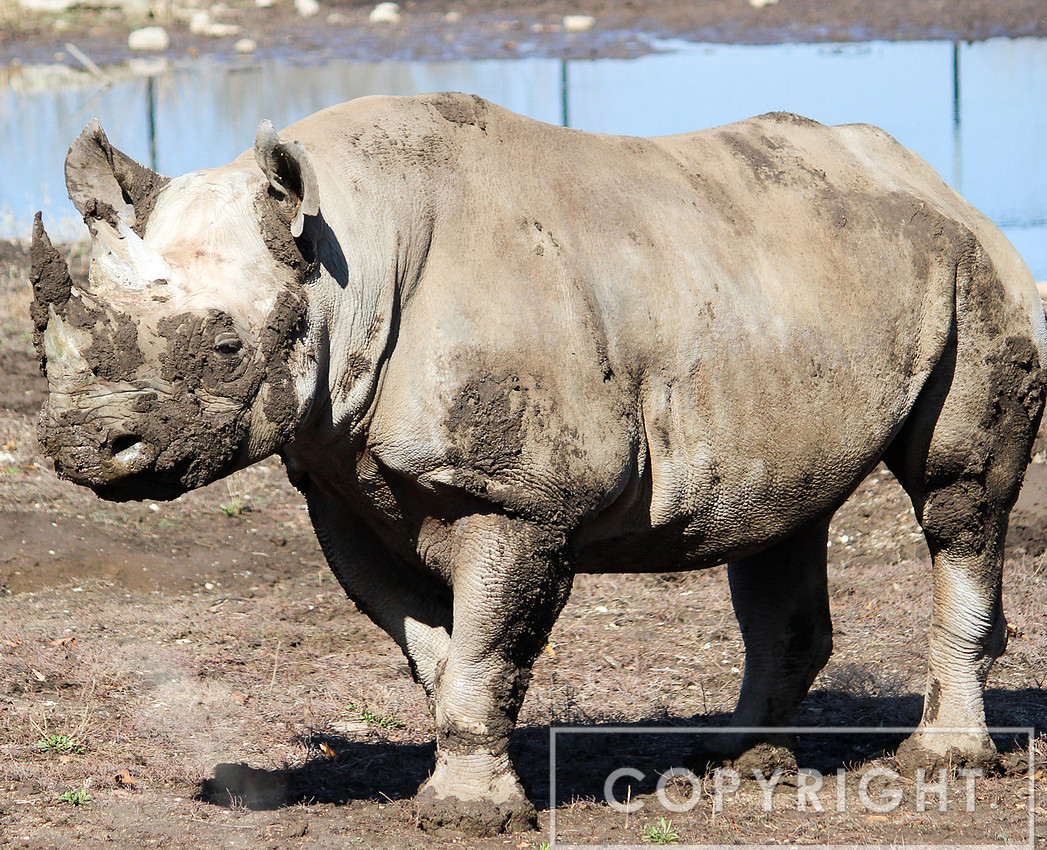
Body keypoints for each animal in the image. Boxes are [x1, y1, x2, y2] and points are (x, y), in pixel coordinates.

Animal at [30, 93, 1046, 834]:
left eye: (227, 348)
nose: (83, 444)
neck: (342, 254)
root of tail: (933, 180)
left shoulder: (518, 498)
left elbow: (486, 646)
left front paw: (464, 816)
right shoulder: (337, 476)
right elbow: (436, 651)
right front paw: (468, 775)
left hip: (979, 275)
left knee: (958, 502)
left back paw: (940, 761)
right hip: (783, 288)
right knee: (779, 514)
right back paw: (736, 765)